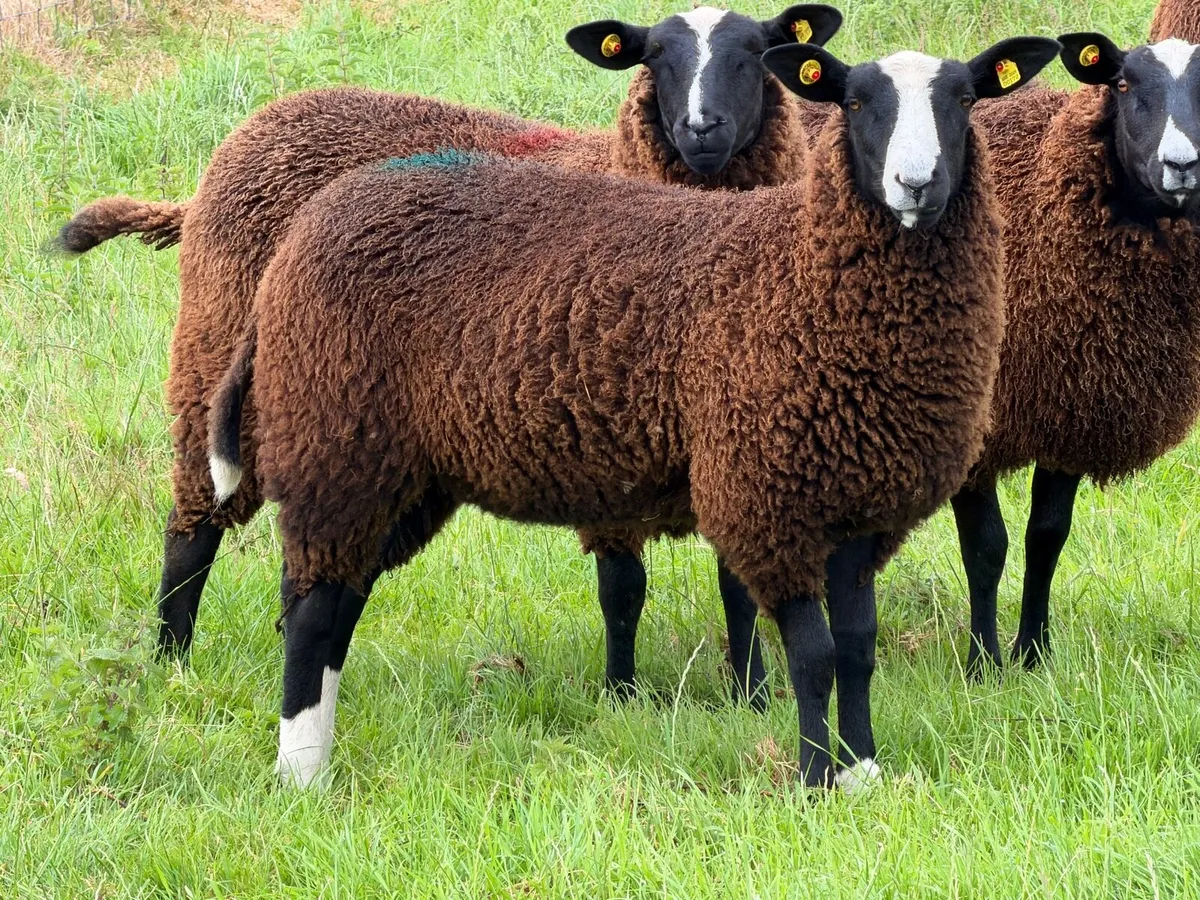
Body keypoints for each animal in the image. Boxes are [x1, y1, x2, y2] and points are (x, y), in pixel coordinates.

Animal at [56, 5, 843, 705]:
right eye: (656, 58)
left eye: (755, 53)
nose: (701, 130)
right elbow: (623, 587)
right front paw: (623, 696)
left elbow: (734, 585)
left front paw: (750, 694)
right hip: (221, 358)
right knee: (192, 527)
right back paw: (172, 659)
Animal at [205, 38, 1061, 788]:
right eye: (855, 102)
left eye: (964, 100)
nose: (916, 184)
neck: (798, 273)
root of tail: (302, 235)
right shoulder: (765, 499)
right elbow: (813, 657)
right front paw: (818, 779)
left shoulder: (860, 506)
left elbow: (857, 648)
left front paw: (865, 772)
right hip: (338, 444)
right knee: (312, 609)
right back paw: (300, 772)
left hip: (398, 472)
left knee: (338, 598)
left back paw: (315, 752)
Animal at [938, 34, 1200, 673]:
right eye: (1124, 84)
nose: (1182, 166)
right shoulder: (974, 427)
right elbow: (985, 548)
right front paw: (983, 663)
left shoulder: (1072, 405)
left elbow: (1047, 537)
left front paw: (1033, 652)